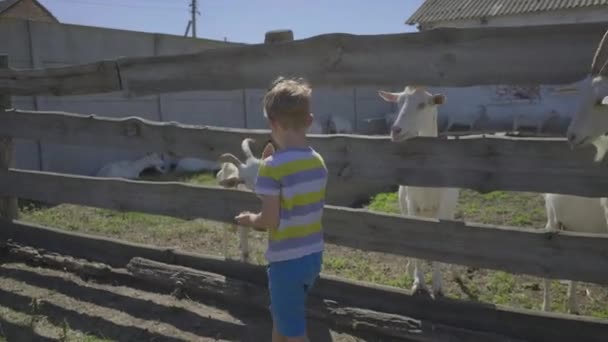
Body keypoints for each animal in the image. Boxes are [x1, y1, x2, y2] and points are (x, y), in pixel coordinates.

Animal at [378, 87, 458, 298]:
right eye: (398, 103)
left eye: (423, 104)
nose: (396, 130)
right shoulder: (411, 204)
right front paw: (418, 282)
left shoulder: (443, 208)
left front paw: (438, 286)